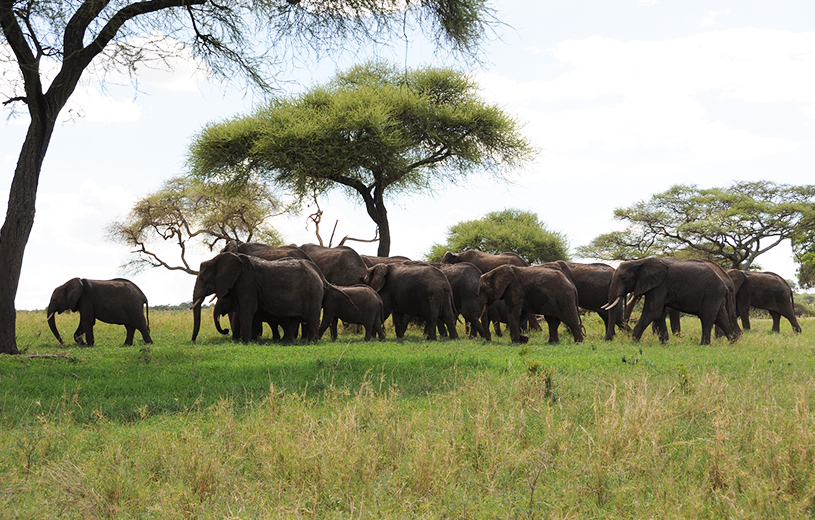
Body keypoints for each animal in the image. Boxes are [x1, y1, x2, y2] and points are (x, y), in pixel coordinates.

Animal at [190, 253, 336, 344]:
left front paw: (245, 342)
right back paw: (286, 341)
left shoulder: (247, 282)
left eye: (202, 279)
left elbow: (247, 309)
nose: (193, 341)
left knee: (312, 318)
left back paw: (311, 342)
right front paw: (250, 340)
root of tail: (320, 274)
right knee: (295, 319)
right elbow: (243, 310)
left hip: (313, 293)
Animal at [604, 256, 744, 346]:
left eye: (623, 277)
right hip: (716, 295)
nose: (607, 340)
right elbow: (658, 314)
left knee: (707, 318)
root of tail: (724, 283)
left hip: (712, 293)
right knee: (721, 317)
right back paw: (734, 341)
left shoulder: (660, 285)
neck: (639, 262)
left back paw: (704, 345)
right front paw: (664, 344)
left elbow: (652, 311)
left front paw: (633, 342)